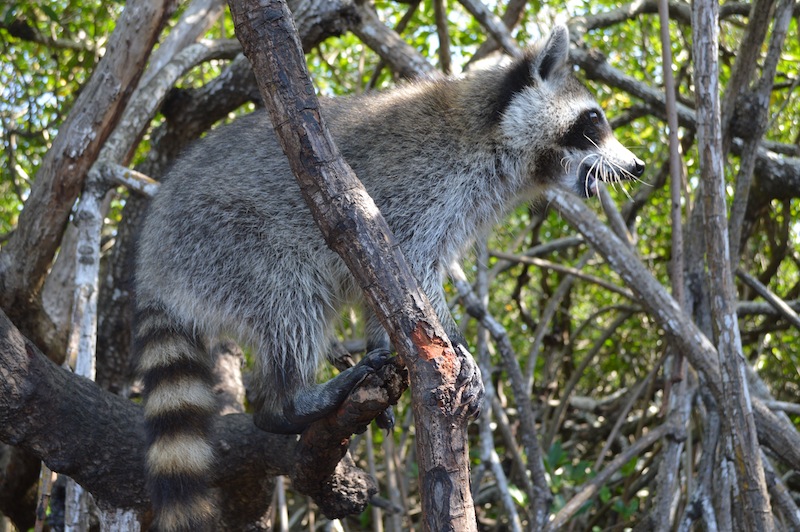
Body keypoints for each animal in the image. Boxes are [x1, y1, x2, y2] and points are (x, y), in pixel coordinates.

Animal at [136, 23, 644, 528]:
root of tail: (152, 261)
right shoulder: (420, 185)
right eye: (594, 120)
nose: (638, 165)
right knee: (289, 289)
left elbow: (388, 291)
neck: (496, 135)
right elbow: (411, 265)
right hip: (221, 238)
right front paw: (454, 342)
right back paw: (288, 401)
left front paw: (398, 342)